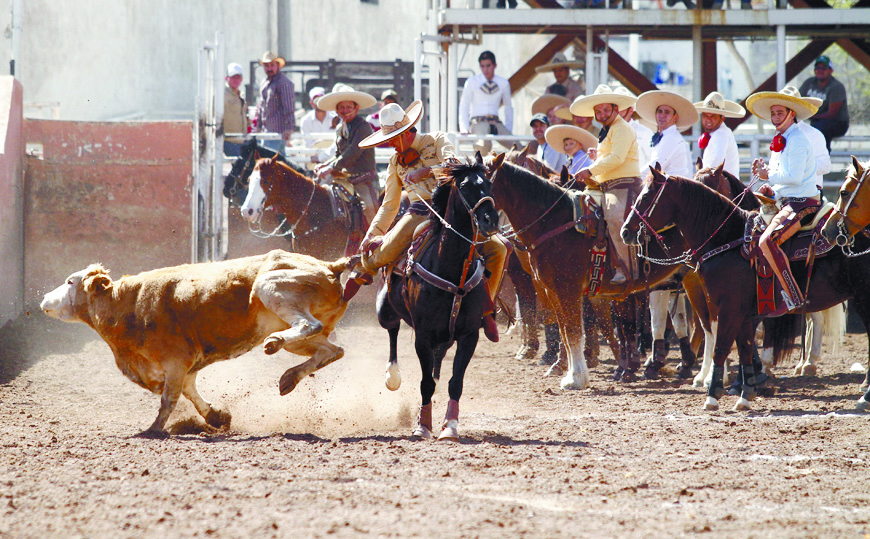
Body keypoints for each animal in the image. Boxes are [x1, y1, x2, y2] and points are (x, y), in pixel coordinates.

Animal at [378, 157, 500, 442]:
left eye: (489, 183)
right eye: (465, 186)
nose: (490, 219)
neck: (451, 268)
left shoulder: (469, 335)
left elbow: (455, 382)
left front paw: (450, 426)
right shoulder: (423, 335)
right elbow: (426, 383)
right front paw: (423, 426)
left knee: (438, 359)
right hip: (385, 312)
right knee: (393, 330)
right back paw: (392, 375)